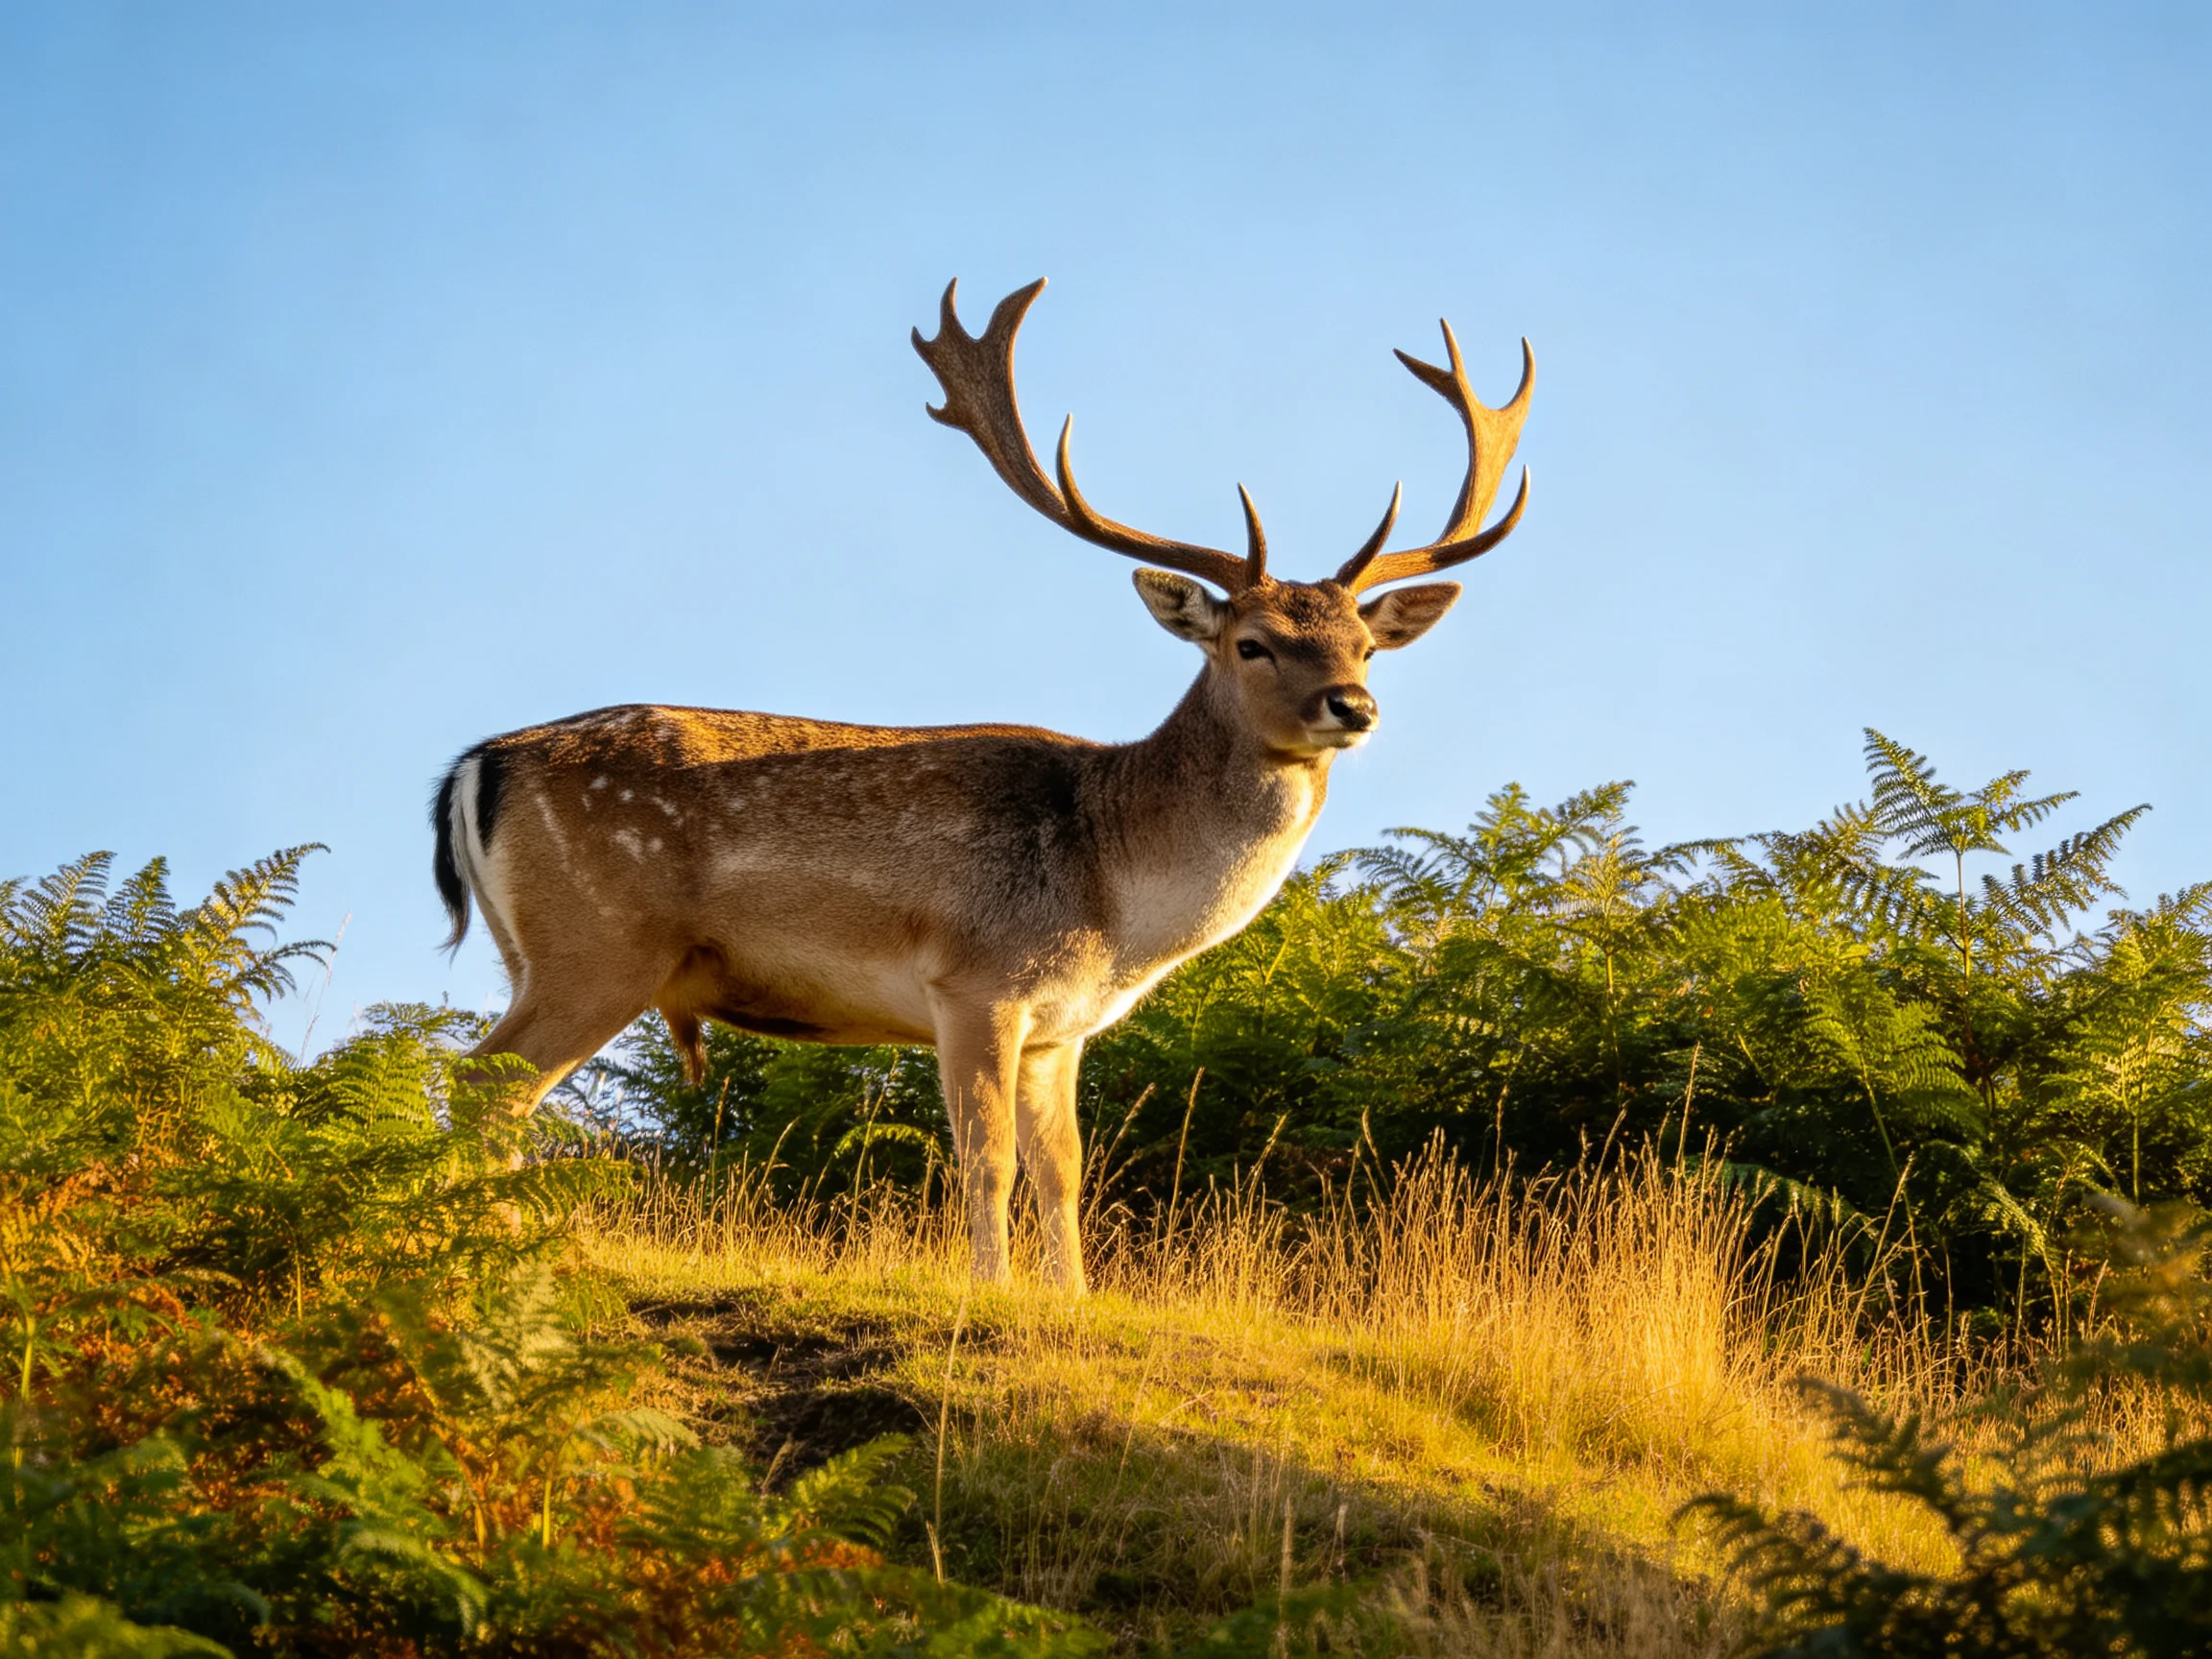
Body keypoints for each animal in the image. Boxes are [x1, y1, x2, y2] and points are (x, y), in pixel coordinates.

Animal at [430, 278, 1532, 1291]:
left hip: (533, 952)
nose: (1354, 705)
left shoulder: (1060, 1030)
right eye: (1252, 642)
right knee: (482, 1087)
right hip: (600, 944)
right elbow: (989, 1160)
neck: (1115, 893)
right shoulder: (974, 981)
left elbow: (1065, 1171)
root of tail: (476, 767)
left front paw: (1074, 1300)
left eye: (1364, 646)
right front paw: (992, 1291)